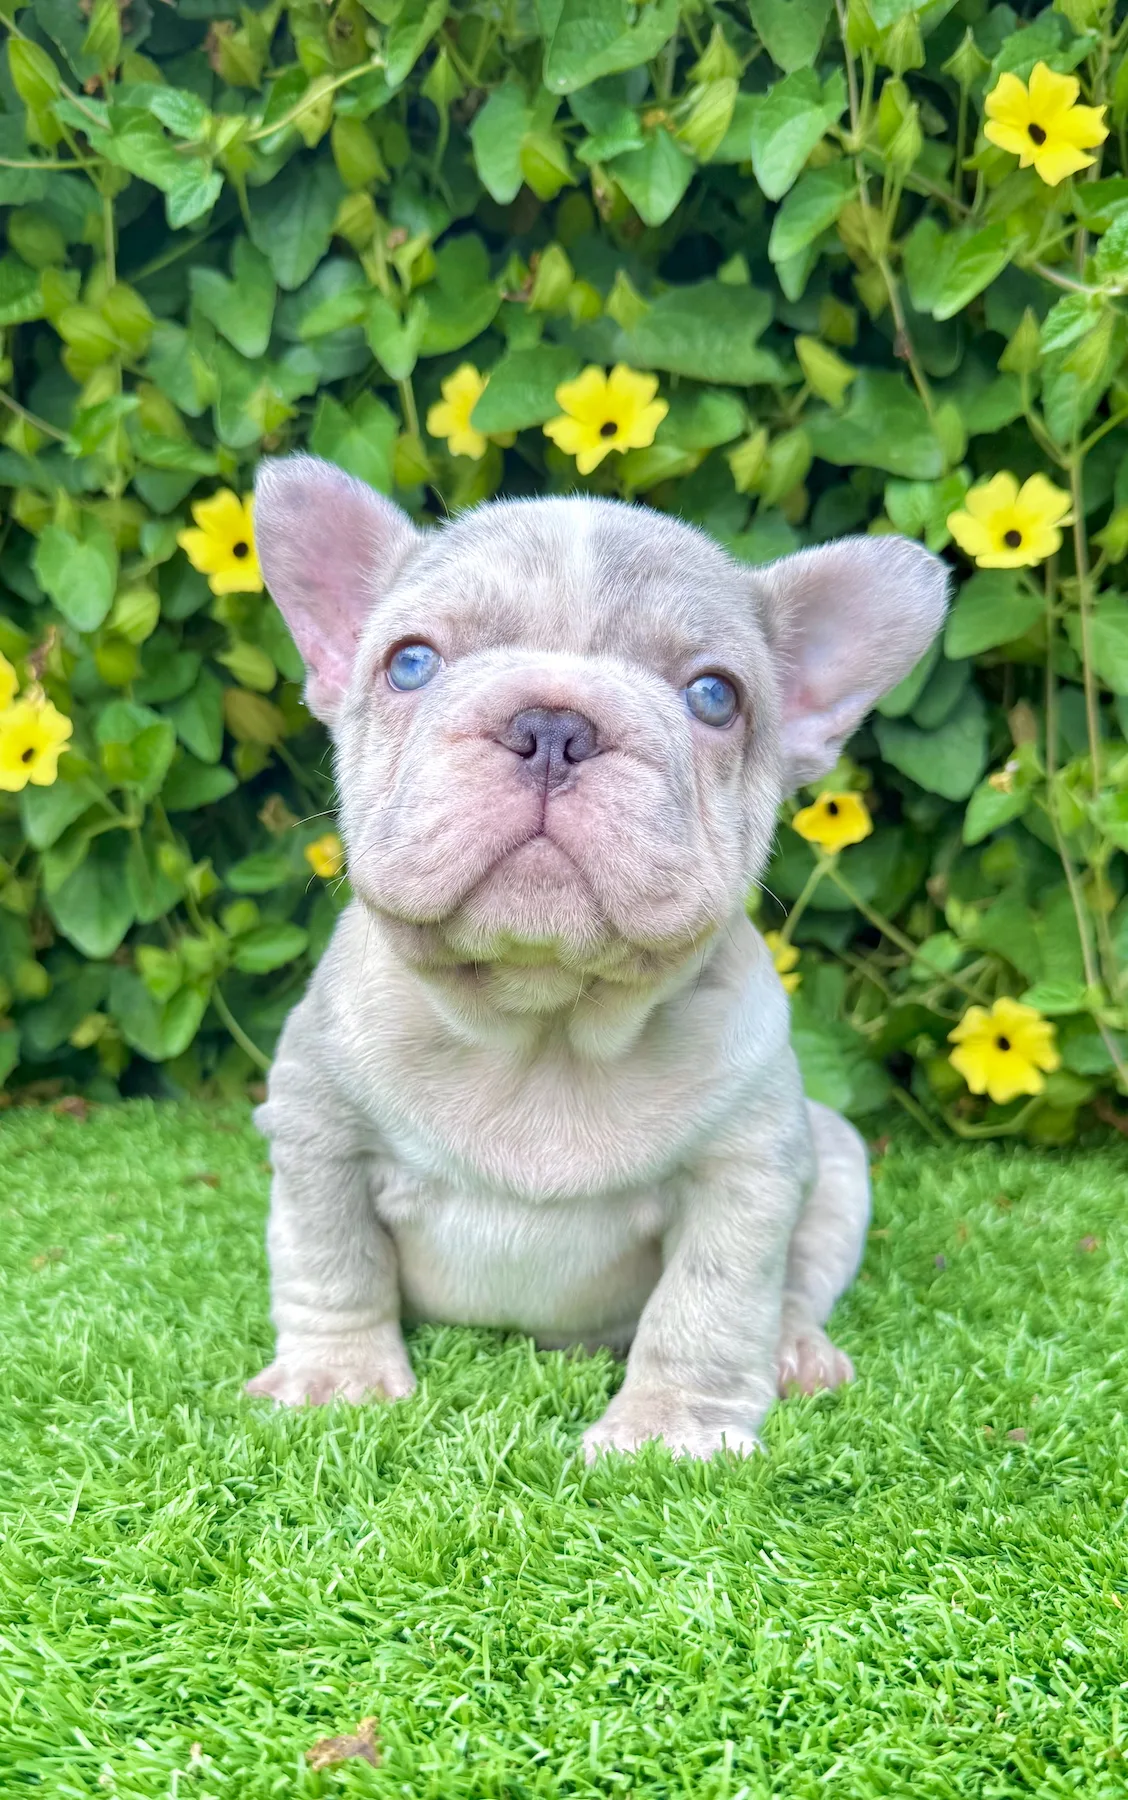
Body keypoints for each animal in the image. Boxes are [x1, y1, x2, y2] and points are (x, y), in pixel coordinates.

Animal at [246, 455, 947, 1458]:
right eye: (411, 663)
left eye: (714, 696)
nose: (552, 724)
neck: (542, 1020)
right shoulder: (317, 1133)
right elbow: (330, 1259)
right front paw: (335, 1379)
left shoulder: (744, 1172)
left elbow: (709, 1306)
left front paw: (671, 1433)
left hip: (839, 1163)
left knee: (796, 1287)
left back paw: (795, 1353)